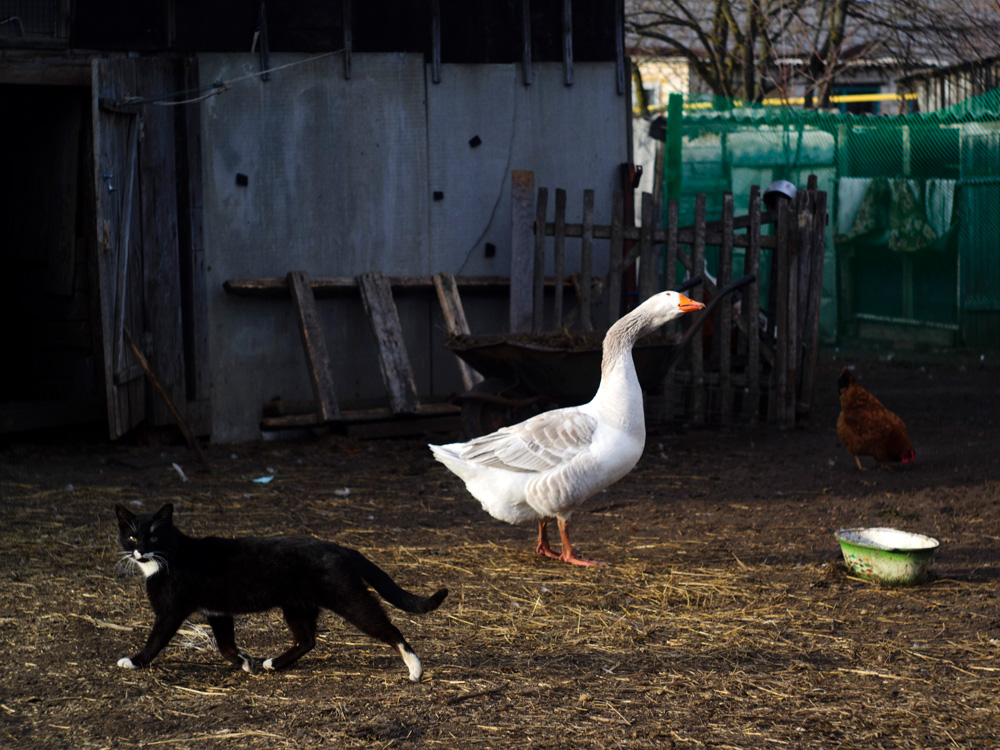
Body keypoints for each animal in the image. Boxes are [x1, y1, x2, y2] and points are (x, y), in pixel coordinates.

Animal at [113, 502, 450, 684]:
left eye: (153, 536)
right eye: (131, 536)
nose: (139, 550)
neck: (169, 556)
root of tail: (341, 547)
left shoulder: (170, 612)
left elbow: (155, 641)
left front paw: (134, 661)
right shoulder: (218, 612)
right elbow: (225, 646)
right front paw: (246, 662)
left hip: (350, 600)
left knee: (390, 629)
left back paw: (415, 670)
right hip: (297, 606)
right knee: (307, 640)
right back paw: (273, 663)